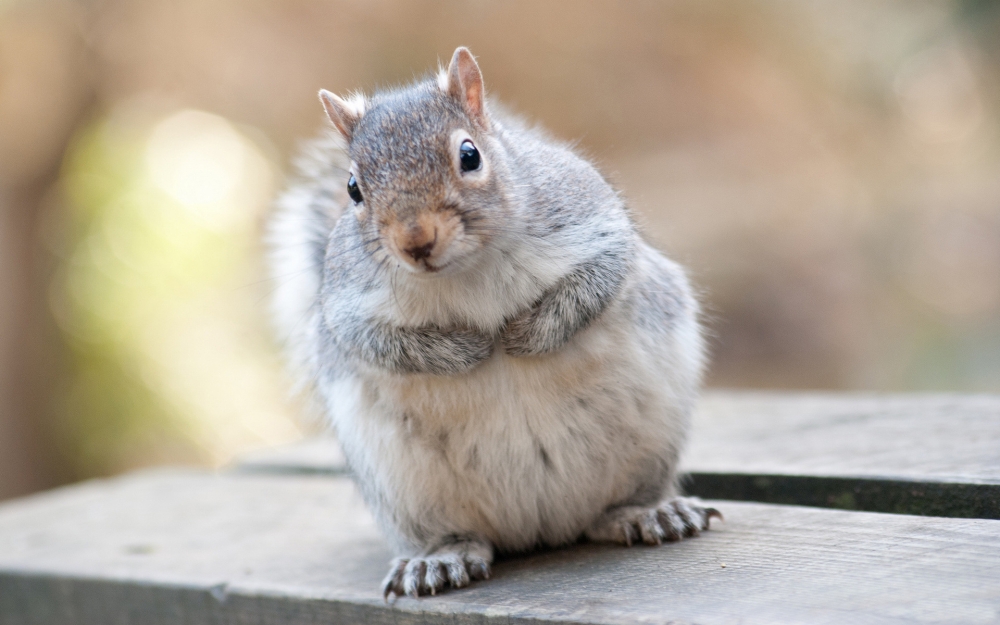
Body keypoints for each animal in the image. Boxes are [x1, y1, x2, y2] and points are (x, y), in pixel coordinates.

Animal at [266, 46, 720, 596]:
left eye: (469, 155)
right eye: (353, 188)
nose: (415, 241)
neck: (466, 269)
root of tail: (543, 527)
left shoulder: (593, 219)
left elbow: (599, 276)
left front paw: (527, 334)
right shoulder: (344, 302)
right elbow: (375, 340)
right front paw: (465, 350)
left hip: (652, 440)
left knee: (617, 505)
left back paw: (647, 512)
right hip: (403, 489)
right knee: (455, 534)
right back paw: (439, 558)